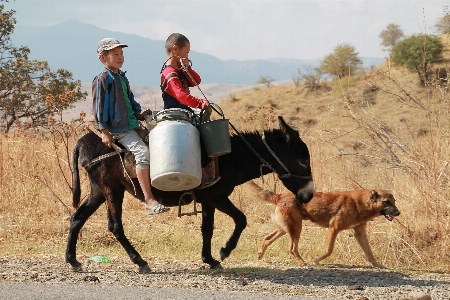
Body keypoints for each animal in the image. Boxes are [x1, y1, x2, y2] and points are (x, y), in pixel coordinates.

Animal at [246, 180, 400, 268]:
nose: (398, 213)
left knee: (267, 239)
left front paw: (377, 265)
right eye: (386, 202)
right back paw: (303, 263)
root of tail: (280, 196)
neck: (360, 203)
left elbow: (369, 253)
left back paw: (260, 255)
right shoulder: (334, 229)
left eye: (394, 201)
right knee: (292, 249)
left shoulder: (360, 233)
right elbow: (328, 250)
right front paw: (317, 260)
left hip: (284, 229)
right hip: (296, 228)